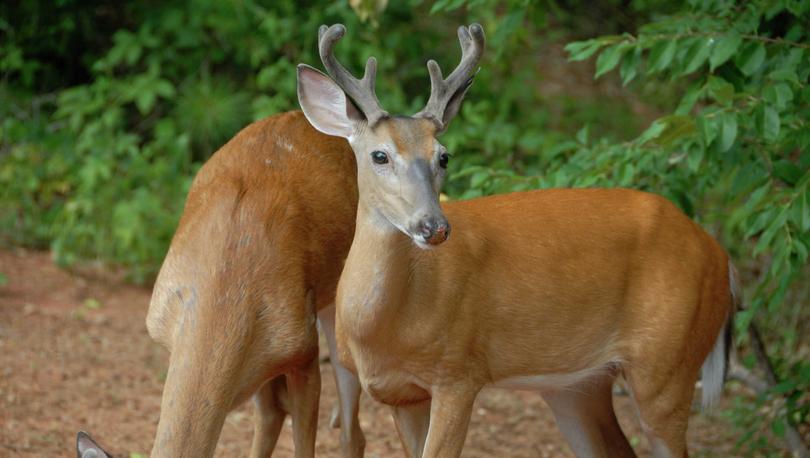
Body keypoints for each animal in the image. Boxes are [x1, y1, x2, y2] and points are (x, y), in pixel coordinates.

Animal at [296, 22, 732, 458]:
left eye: (444, 156)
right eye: (380, 155)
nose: (434, 226)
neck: (386, 329)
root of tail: (719, 255)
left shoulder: (459, 373)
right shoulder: (401, 395)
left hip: (667, 364)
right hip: (579, 386)